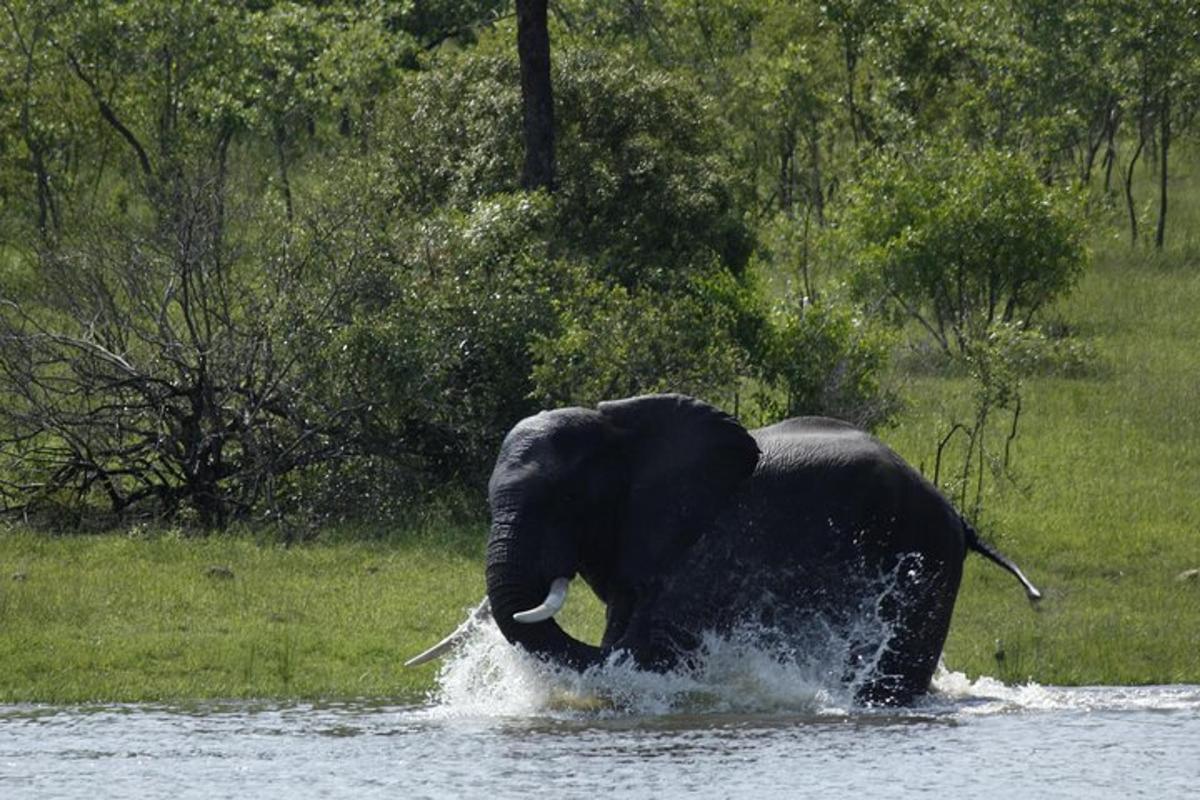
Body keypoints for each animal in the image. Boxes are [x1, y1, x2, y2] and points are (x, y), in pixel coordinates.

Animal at [405, 393, 1041, 705]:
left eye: (565, 501)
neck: (621, 429)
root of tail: (959, 516)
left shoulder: (723, 541)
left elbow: (650, 646)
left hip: (926, 552)